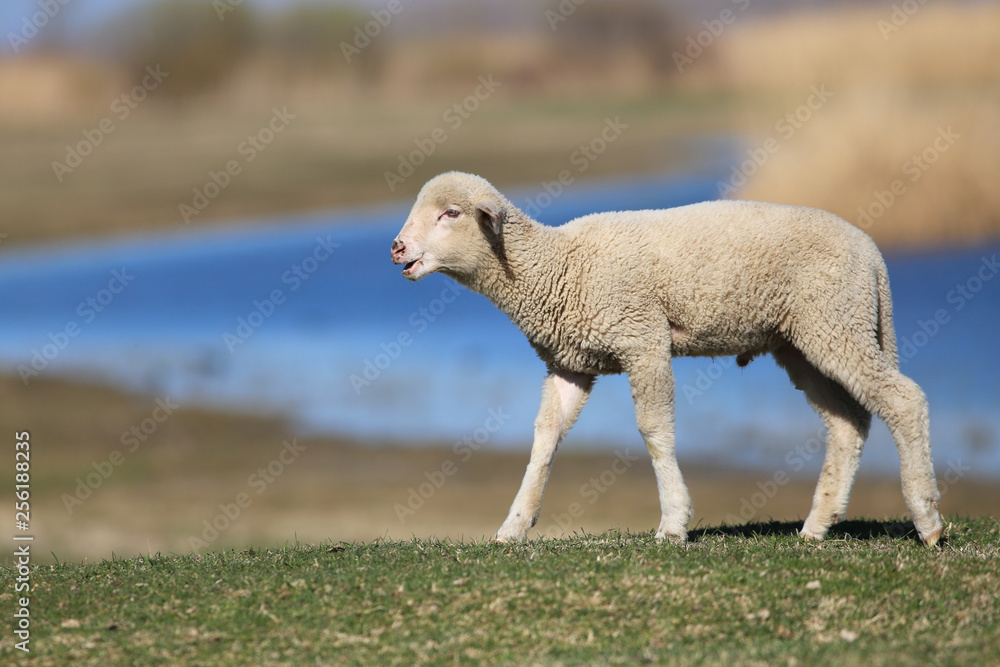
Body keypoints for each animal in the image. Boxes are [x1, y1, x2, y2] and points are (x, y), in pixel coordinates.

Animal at [390, 171, 944, 547]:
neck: (557, 266)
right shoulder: (570, 365)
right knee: (848, 423)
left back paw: (928, 520)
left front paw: (674, 523)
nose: (396, 249)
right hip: (803, 340)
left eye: (451, 214)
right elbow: (545, 437)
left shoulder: (643, 339)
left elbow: (654, 430)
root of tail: (871, 251)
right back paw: (816, 526)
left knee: (903, 399)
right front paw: (514, 525)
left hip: (835, 319)